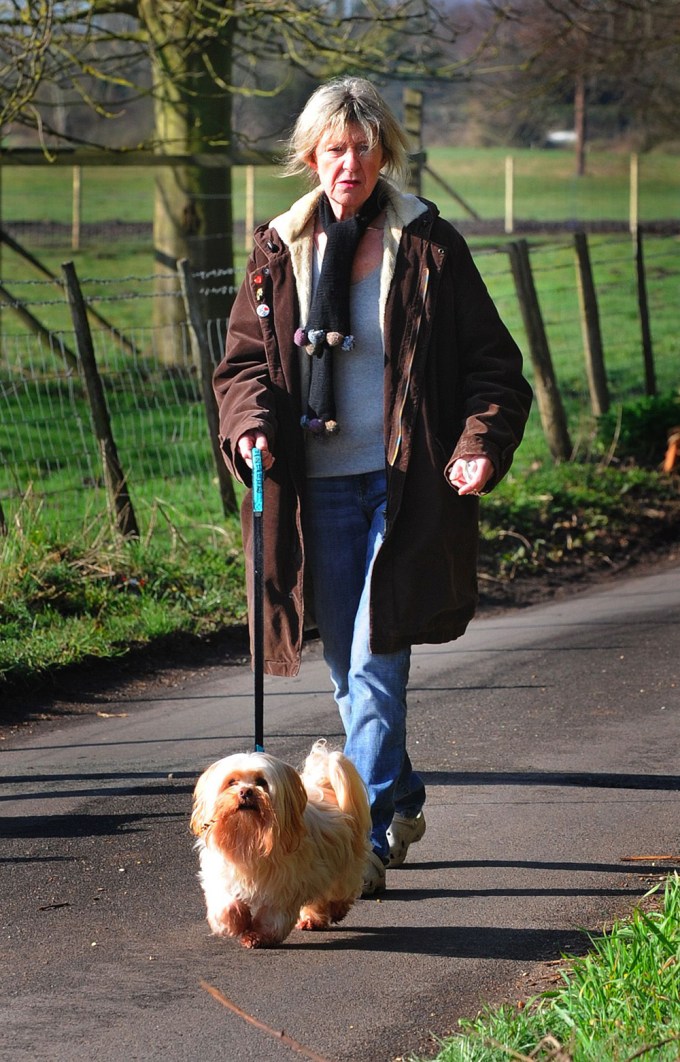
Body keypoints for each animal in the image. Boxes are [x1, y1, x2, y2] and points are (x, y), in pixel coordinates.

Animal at [191, 743, 371, 951]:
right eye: (232, 782)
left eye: (261, 782)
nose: (245, 792)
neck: (249, 837)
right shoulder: (221, 874)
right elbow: (225, 903)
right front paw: (235, 922)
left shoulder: (282, 888)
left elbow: (271, 917)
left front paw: (257, 936)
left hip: (341, 867)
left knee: (337, 892)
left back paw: (334, 910)